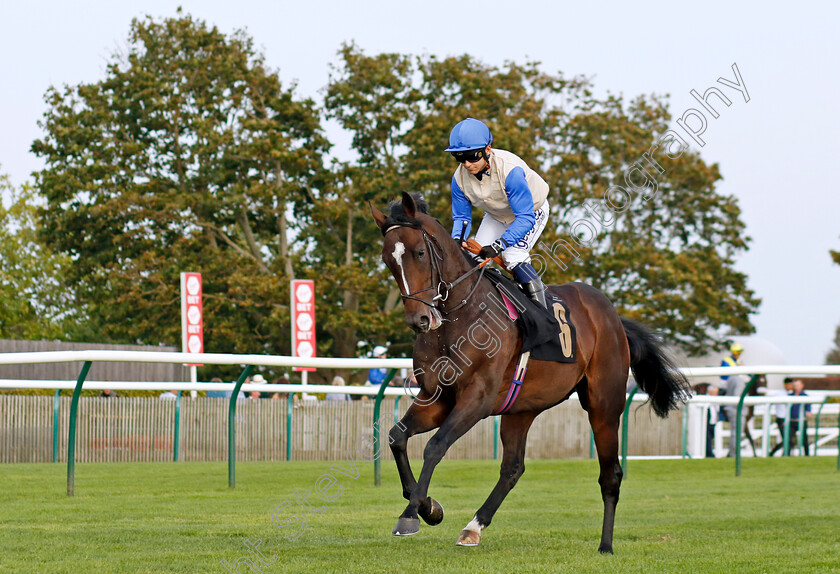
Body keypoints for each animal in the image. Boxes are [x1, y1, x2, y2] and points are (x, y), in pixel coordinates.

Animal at [370, 194, 684, 552]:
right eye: (387, 260)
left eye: (420, 253)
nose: (419, 319)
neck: (460, 317)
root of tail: (614, 318)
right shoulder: (436, 398)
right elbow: (396, 437)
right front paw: (429, 507)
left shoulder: (476, 400)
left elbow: (435, 447)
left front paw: (411, 515)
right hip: (520, 409)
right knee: (512, 468)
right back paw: (473, 527)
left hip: (604, 405)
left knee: (611, 474)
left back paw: (606, 545)